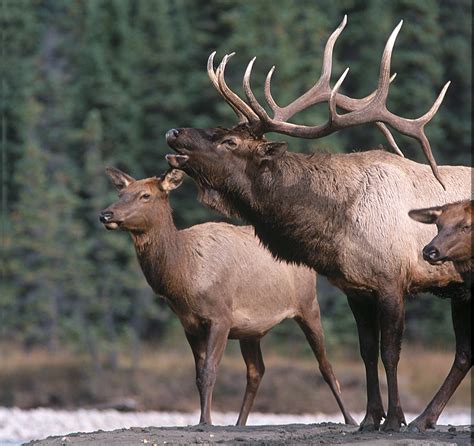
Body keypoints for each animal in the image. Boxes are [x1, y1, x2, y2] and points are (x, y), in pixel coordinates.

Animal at [99, 166, 356, 426]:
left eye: (145, 195)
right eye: (121, 193)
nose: (106, 214)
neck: (184, 277)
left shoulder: (220, 317)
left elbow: (209, 371)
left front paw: (205, 421)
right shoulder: (190, 325)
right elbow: (198, 375)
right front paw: (204, 418)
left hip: (308, 305)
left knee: (325, 365)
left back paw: (350, 420)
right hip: (251, 329)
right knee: (256, 371)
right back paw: (240, 424)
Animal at [166, 15, 470, 430]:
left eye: (228, 141)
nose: (174, 132)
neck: (336, 226)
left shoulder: (393, 280)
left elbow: (390, 353)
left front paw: (394, 419)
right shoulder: (356, 288)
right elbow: (366, 352)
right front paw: (369, 418)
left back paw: (420, 418)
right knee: (464, 353)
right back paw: (426, 418)